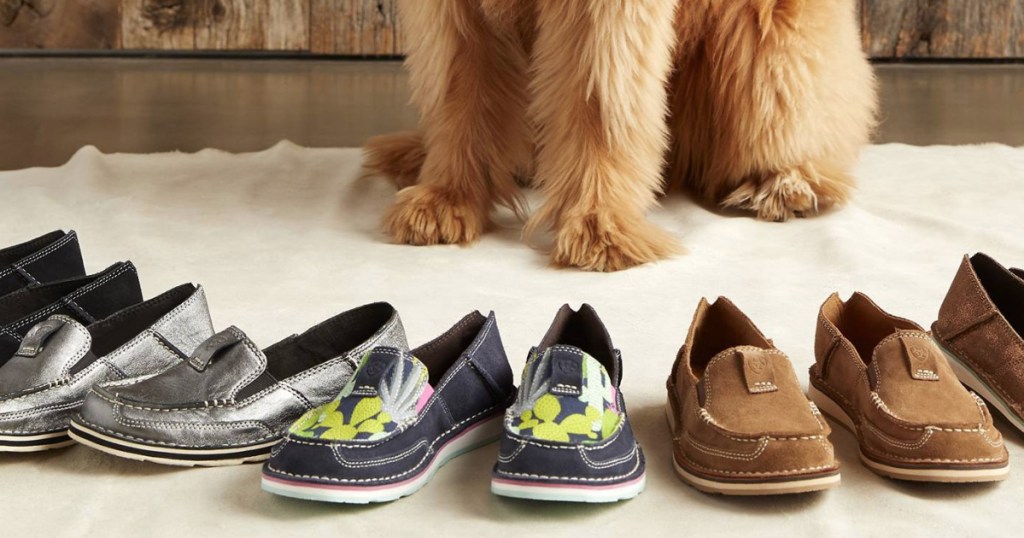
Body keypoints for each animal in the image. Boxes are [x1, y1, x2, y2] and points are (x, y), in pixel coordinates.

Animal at [364, 0, 876, 268]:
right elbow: (456, 93)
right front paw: (445, 197)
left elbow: (600, 102)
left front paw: (598, 223)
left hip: (768, 39)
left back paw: (784, 182)